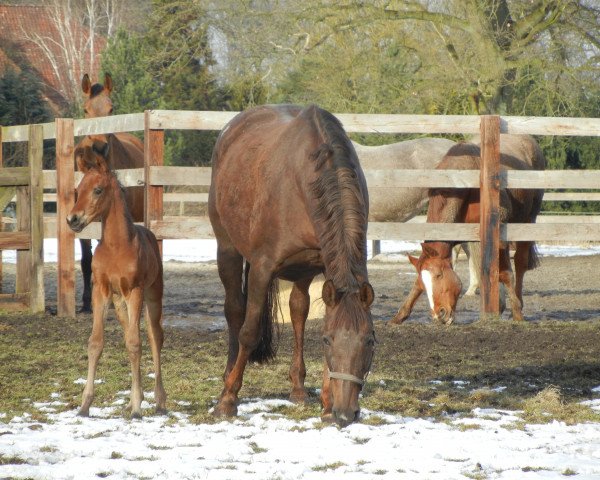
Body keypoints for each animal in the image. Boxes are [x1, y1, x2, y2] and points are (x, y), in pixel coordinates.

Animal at [67, 138, 165, 416]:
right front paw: (85, 404)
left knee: (154, 336)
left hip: (152, 296)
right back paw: (135, 399)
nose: (72, 219)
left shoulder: (135, 291)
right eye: (78, 189)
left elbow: (136, 343)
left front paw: (137, 409)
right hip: (120, 303)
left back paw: (159, 400)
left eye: (98, 190)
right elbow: (96, 343)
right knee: (130, 334)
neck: (116, 247)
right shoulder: (101, 290)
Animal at [207, 105, 376, 428]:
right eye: (327, 341)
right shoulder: (262, 269)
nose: (346, 413)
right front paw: (227, 400)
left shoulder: (326, 268)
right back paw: (227, 375)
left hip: (302, 272)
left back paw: (298, 387)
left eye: (370, 341)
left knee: (298, 310)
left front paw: (327, 406)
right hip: (228, 249)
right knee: (234, 310)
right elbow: (248, 332)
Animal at [392, 133, 548, 324]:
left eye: (439, 275)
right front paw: (401, 314)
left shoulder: (498, 237)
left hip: (527, 221)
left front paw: (517, 312)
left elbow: (505, 274)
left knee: (520, 263)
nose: (439, 314)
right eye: (424, 282)